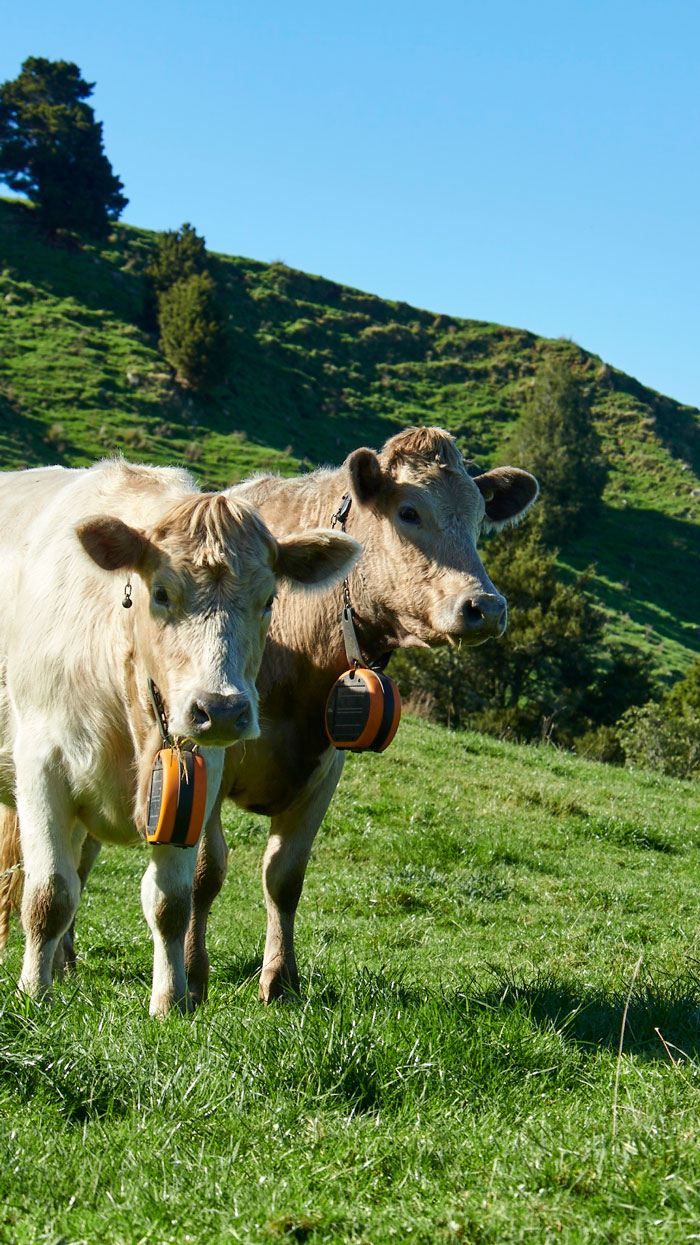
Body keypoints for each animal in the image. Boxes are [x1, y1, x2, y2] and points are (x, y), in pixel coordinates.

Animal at [0, 460, 356, 1010]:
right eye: (161, 593)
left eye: (269, 599)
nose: (222, 709)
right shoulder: (42, 765)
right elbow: (49, 895)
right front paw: (32, 995)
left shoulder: (196, 779)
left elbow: (170, 902)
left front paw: (170, 1001)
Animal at [183, 428, 535, 1000]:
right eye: (409, 512)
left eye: (480, 517)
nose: (487, 607)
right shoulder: (206, 751)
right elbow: (205, 871)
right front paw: (192, 977)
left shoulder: (327, 768)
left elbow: (284, 876)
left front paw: (280, 979)